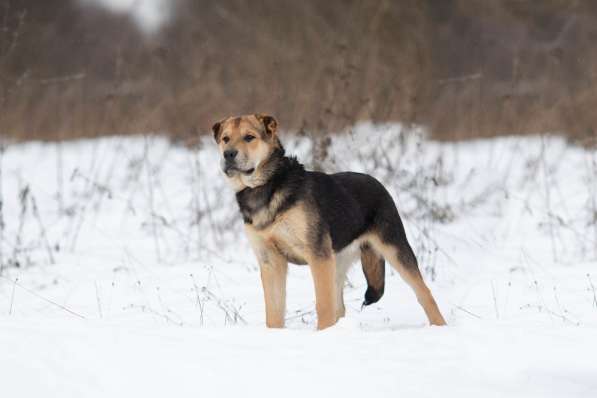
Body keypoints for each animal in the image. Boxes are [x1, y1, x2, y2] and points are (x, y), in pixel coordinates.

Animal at [212, 112, 444, 330]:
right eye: (225, 139)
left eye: (249, 137)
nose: (228, 154)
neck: (266, 185)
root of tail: (377, 182)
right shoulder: (270, 260)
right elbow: (274, 312)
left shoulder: (318, 256)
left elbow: (323, 306)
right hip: (337, 262)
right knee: (339, 307)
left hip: (394, 249)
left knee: (425, 294)